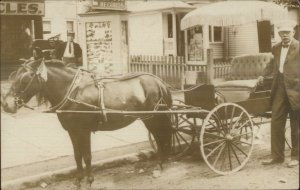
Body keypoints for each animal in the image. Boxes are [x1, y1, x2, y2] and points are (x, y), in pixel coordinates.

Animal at [1, 58, 172, 189]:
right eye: (14, 76)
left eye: (25, 79)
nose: (6, 104)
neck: (73, 92)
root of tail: (159, 81)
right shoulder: (72, 131)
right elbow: (78, 156)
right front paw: (78, 180)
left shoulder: (84, 131)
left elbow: (87, 156)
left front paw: (89, 181)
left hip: (152, 118)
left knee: (159, 138)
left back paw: (159, 164)